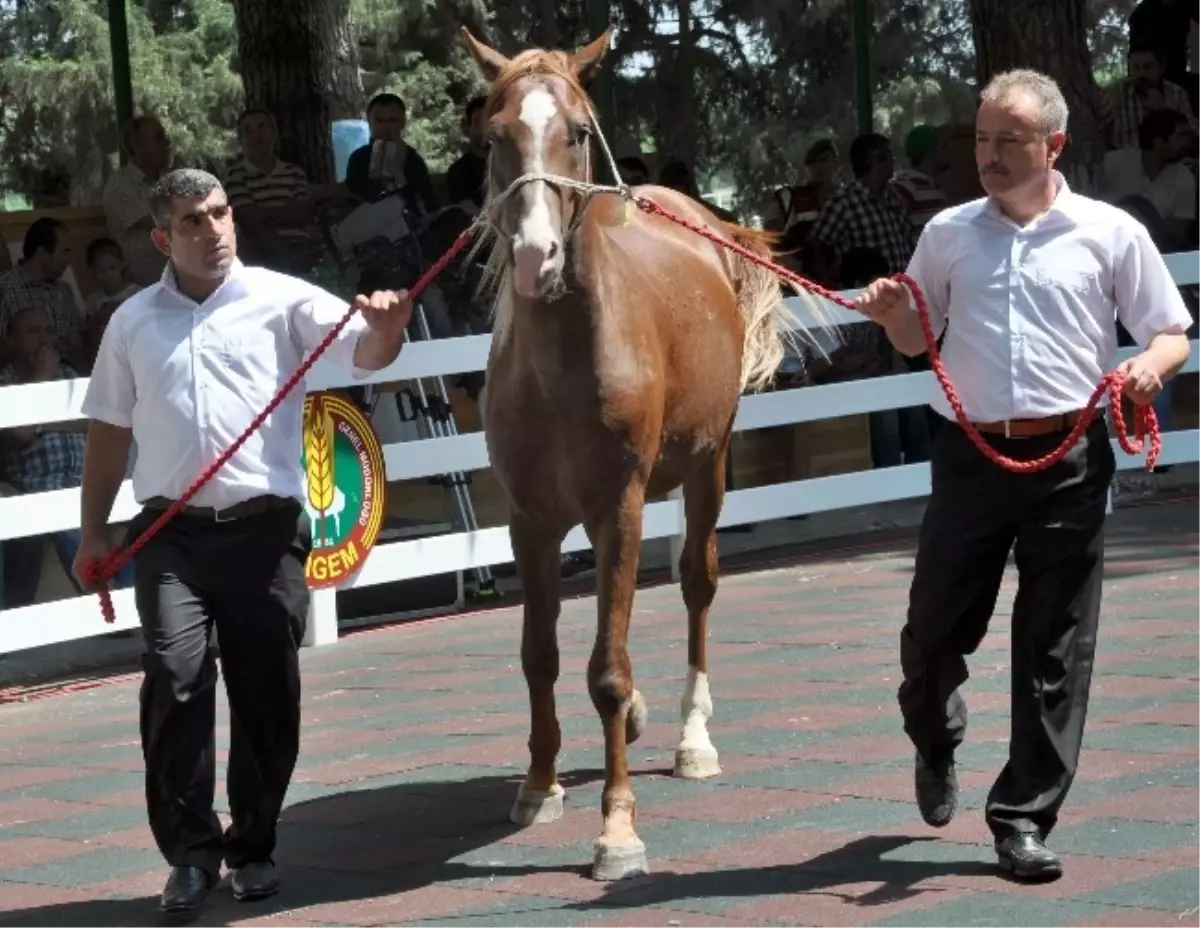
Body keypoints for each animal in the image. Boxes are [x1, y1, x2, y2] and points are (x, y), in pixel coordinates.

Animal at [463, 21, 820, 873]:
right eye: (494, 135)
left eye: (577, 131)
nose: (535, 257)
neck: (561, 366)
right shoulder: (531, 522)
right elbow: (541, 656)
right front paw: (539, 786)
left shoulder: (617, 507)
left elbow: (607, 670)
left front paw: (617, 828)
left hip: (706, 471)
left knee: (696, 583)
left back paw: (693, 737)